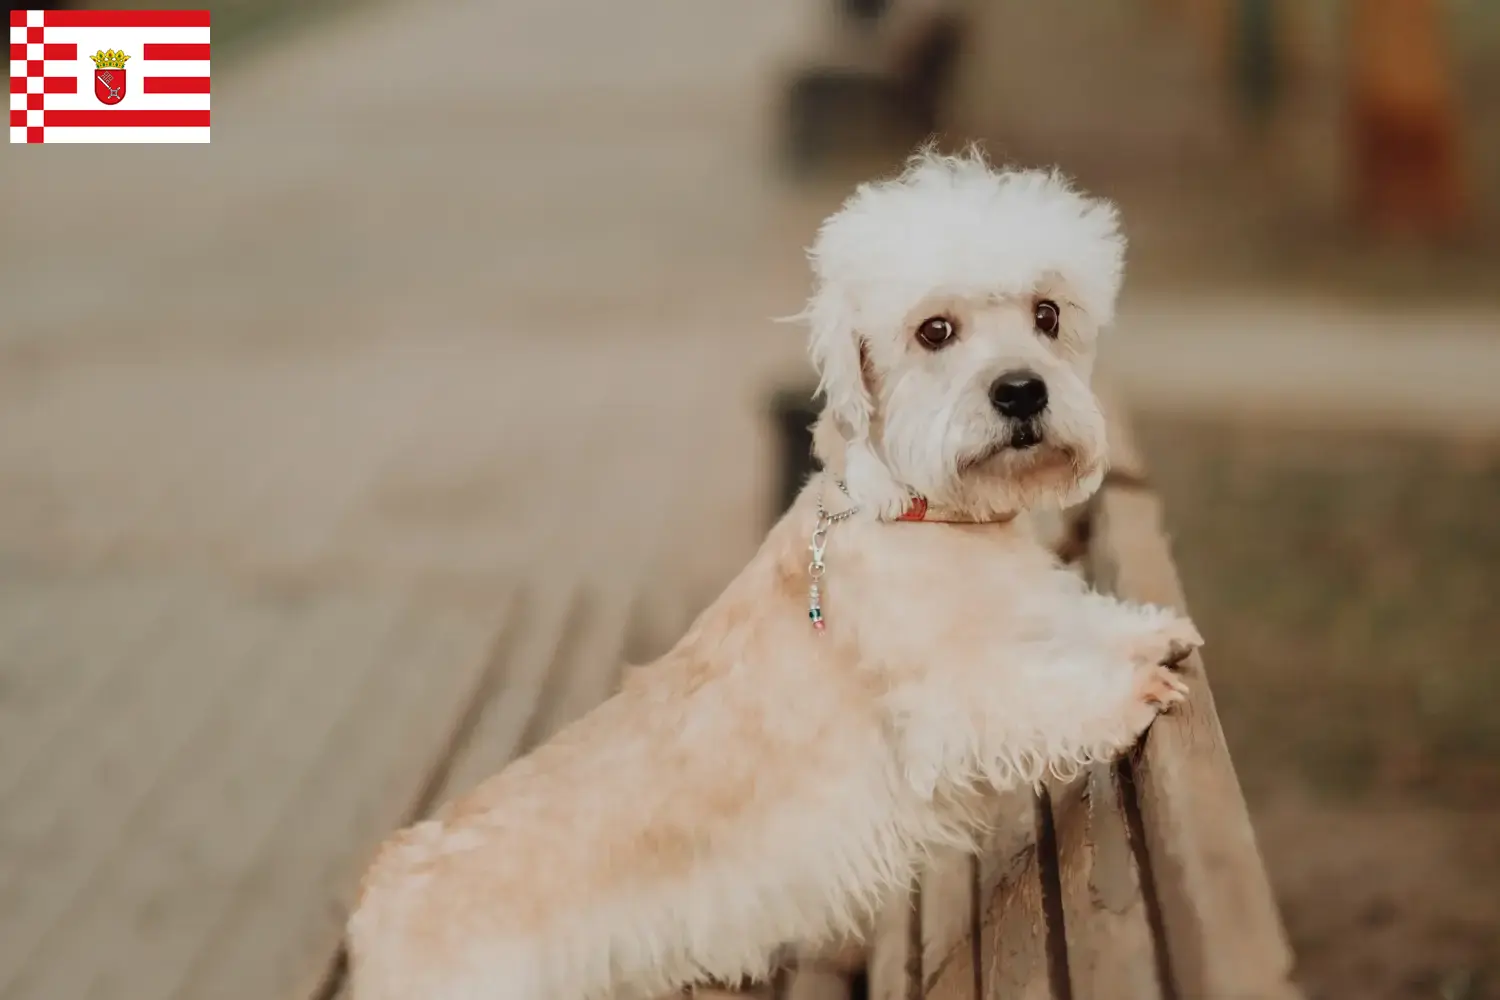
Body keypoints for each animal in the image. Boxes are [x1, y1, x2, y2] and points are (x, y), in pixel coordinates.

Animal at [345, 148, 1200, 1000]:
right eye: (935, 330)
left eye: (1047, 314)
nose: (1022, 392)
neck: (921, 516)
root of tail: (375, 902)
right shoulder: (953, 697)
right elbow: (1038, 695)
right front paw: (1128, 689)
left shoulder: (1029, 612)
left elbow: (1079, 625)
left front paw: (1153, 633)